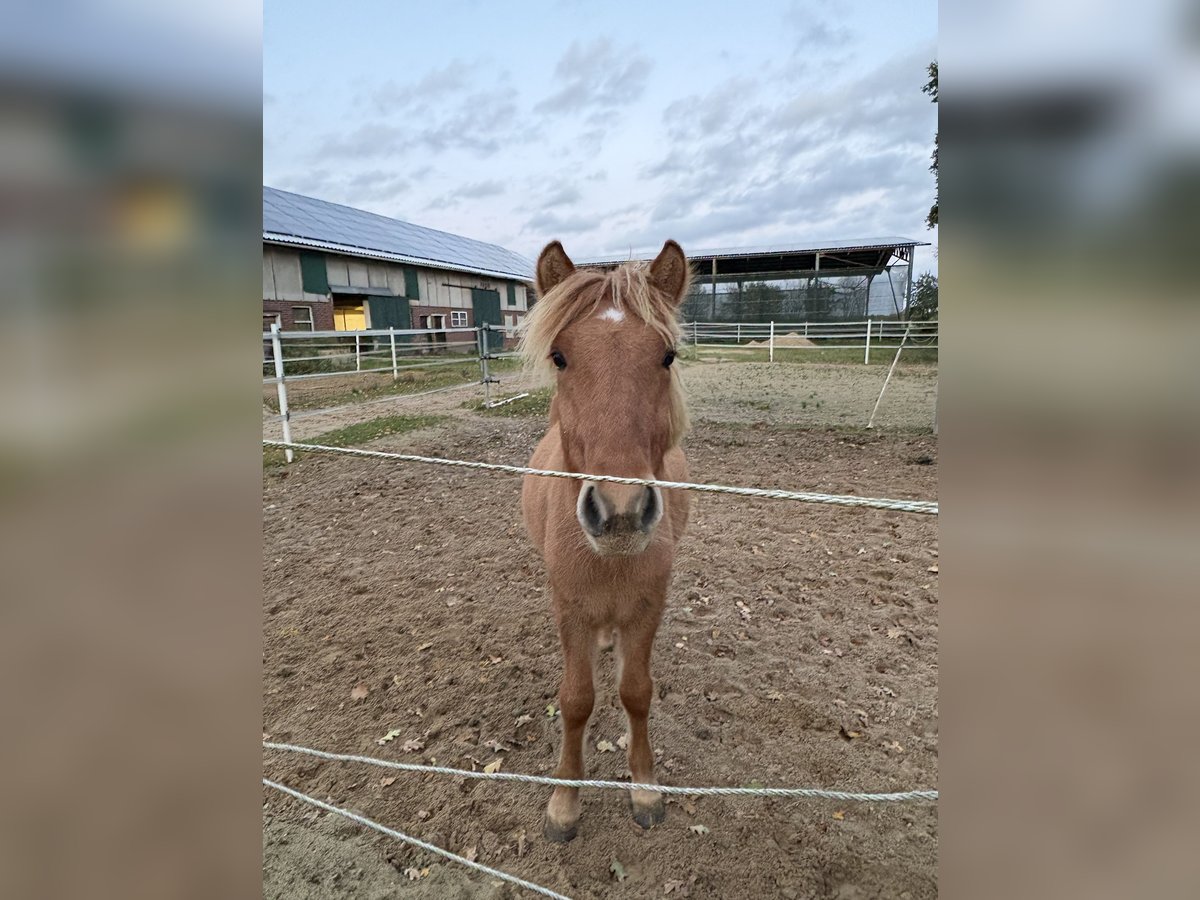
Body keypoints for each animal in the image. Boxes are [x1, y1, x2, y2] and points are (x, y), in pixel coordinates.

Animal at [519, 239, 692, 842]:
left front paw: (644, 789)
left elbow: (636, 693)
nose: (620, 512)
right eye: (560, 357)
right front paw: (564, 804)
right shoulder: (569, 609)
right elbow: (576, 701)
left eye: (667, 356)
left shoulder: (647, 607)